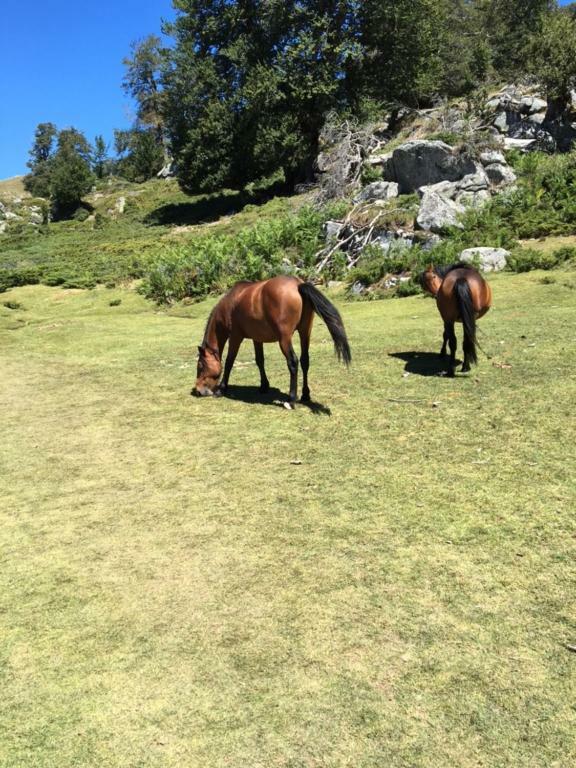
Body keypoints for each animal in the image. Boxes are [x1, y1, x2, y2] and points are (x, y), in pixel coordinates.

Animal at [194, 278, 352, 408]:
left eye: (200, 366)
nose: (199, 390)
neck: (230, 303)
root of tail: (297, 284)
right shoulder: (257, 339)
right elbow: (260, 361)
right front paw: (264, 386)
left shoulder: (235, 337)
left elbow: (229, 362)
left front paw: (221, 389)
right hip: (305, 332)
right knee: (305, 361)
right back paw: (305, 395)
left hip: (284, 339)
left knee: (293, 362)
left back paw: (291, 400)